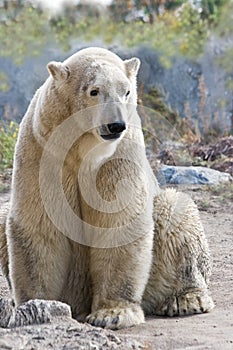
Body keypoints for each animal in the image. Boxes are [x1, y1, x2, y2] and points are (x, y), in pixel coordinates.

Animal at [0, 45, 215, 328]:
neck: (84, 151)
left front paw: (113, 313)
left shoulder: (120, 156)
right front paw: (36, 304)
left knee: (176, 214)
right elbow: (39, 224)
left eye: (127, 91)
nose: (116, 125)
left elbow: (118, 221)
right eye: (94, 91)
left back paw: (186, 299)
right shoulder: (43, 150)